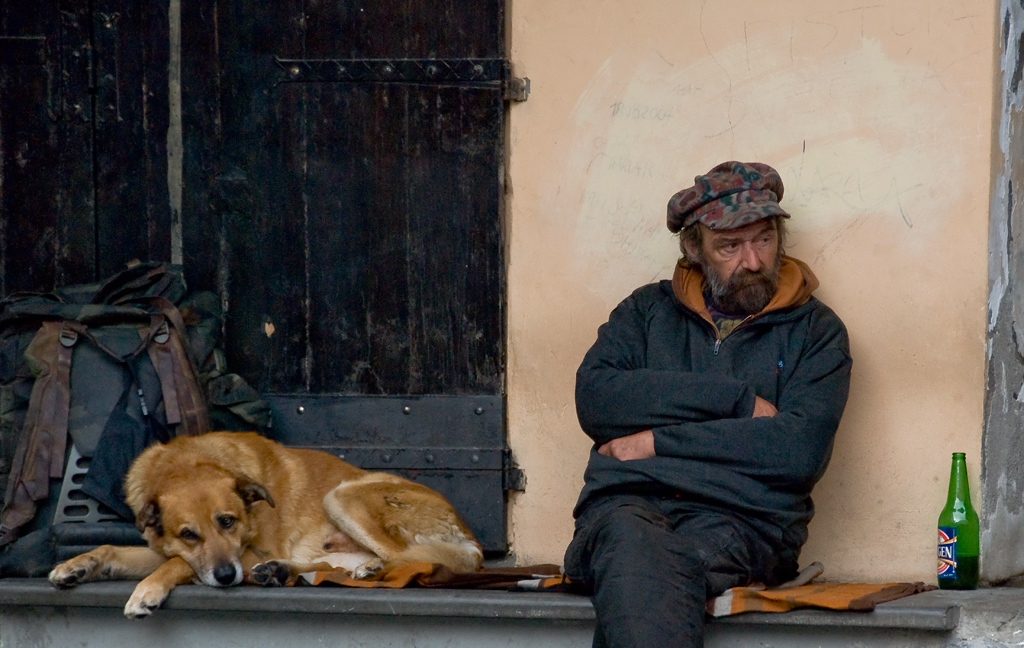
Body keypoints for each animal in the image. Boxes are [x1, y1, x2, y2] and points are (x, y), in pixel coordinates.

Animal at [48, 431, 483, 618]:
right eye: (188, 534)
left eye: (228, 521)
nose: (227, 577)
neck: (185, 463)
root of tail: (471, 542)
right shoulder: (172, 548)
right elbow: (118, 550)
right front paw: (76, 565)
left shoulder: (247, 551)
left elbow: (178, 564)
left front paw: (147, 592)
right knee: (330, 567)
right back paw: (280, 573)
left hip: (342, 495)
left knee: (410, 559)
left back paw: (372, 568)